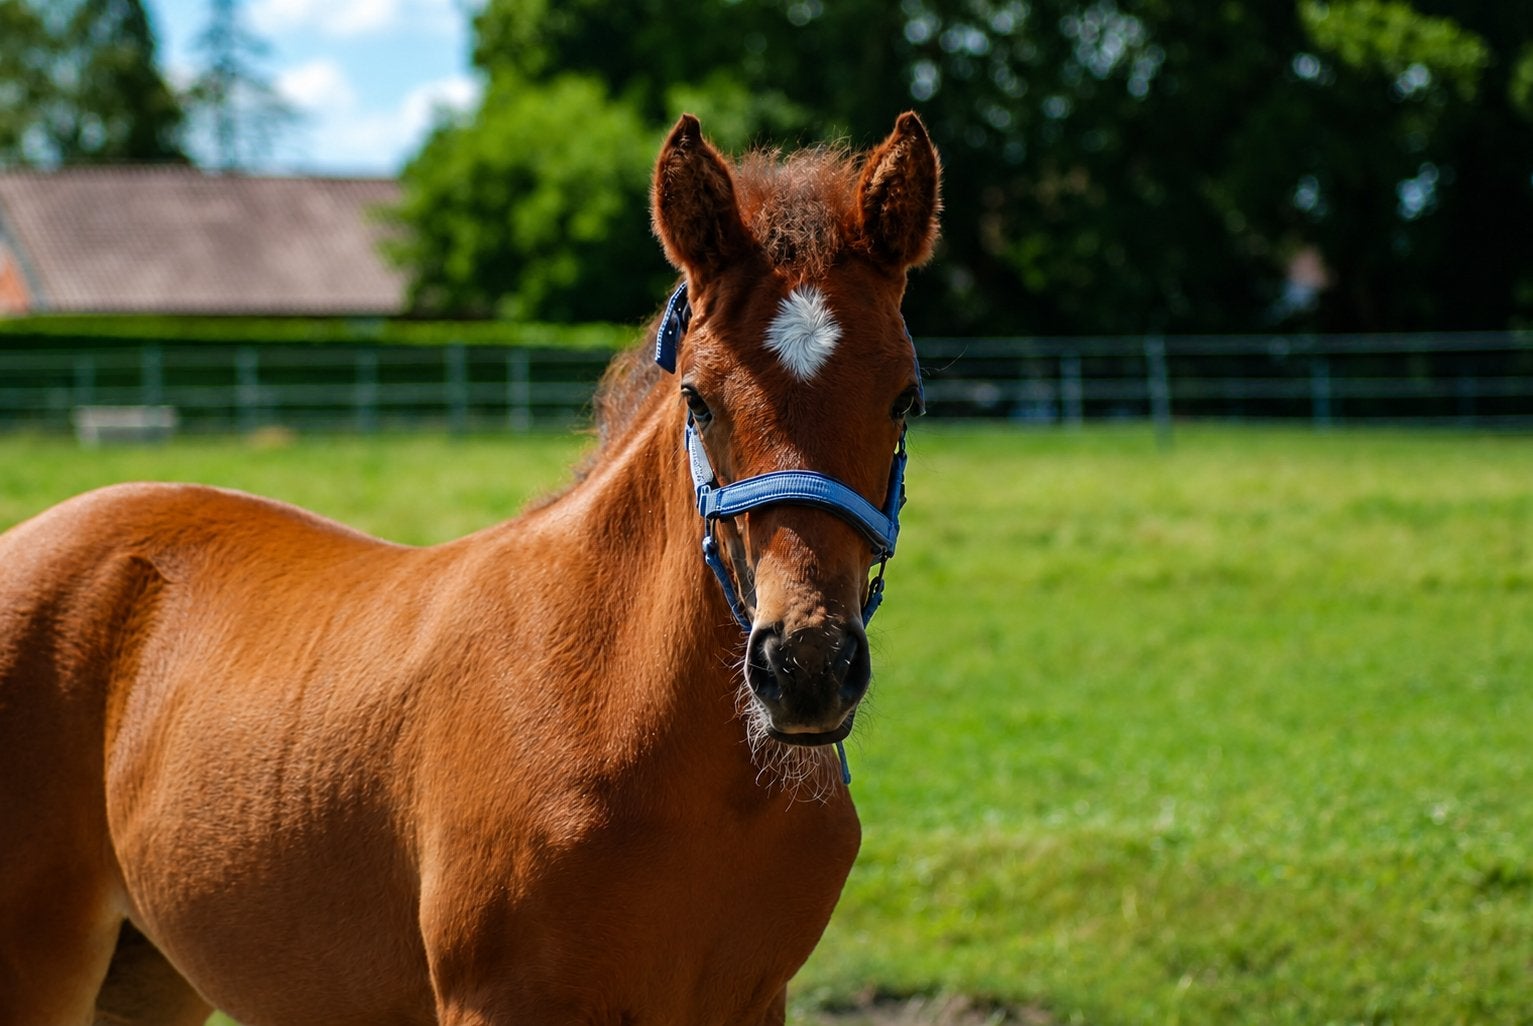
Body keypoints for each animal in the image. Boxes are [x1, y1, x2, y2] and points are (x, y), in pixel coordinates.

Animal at [0, 111, 940, 1026]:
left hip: (149, 978)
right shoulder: (497, 1001)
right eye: (697, 398)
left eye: (905, 398)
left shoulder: (751, 1002)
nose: (806, 666)